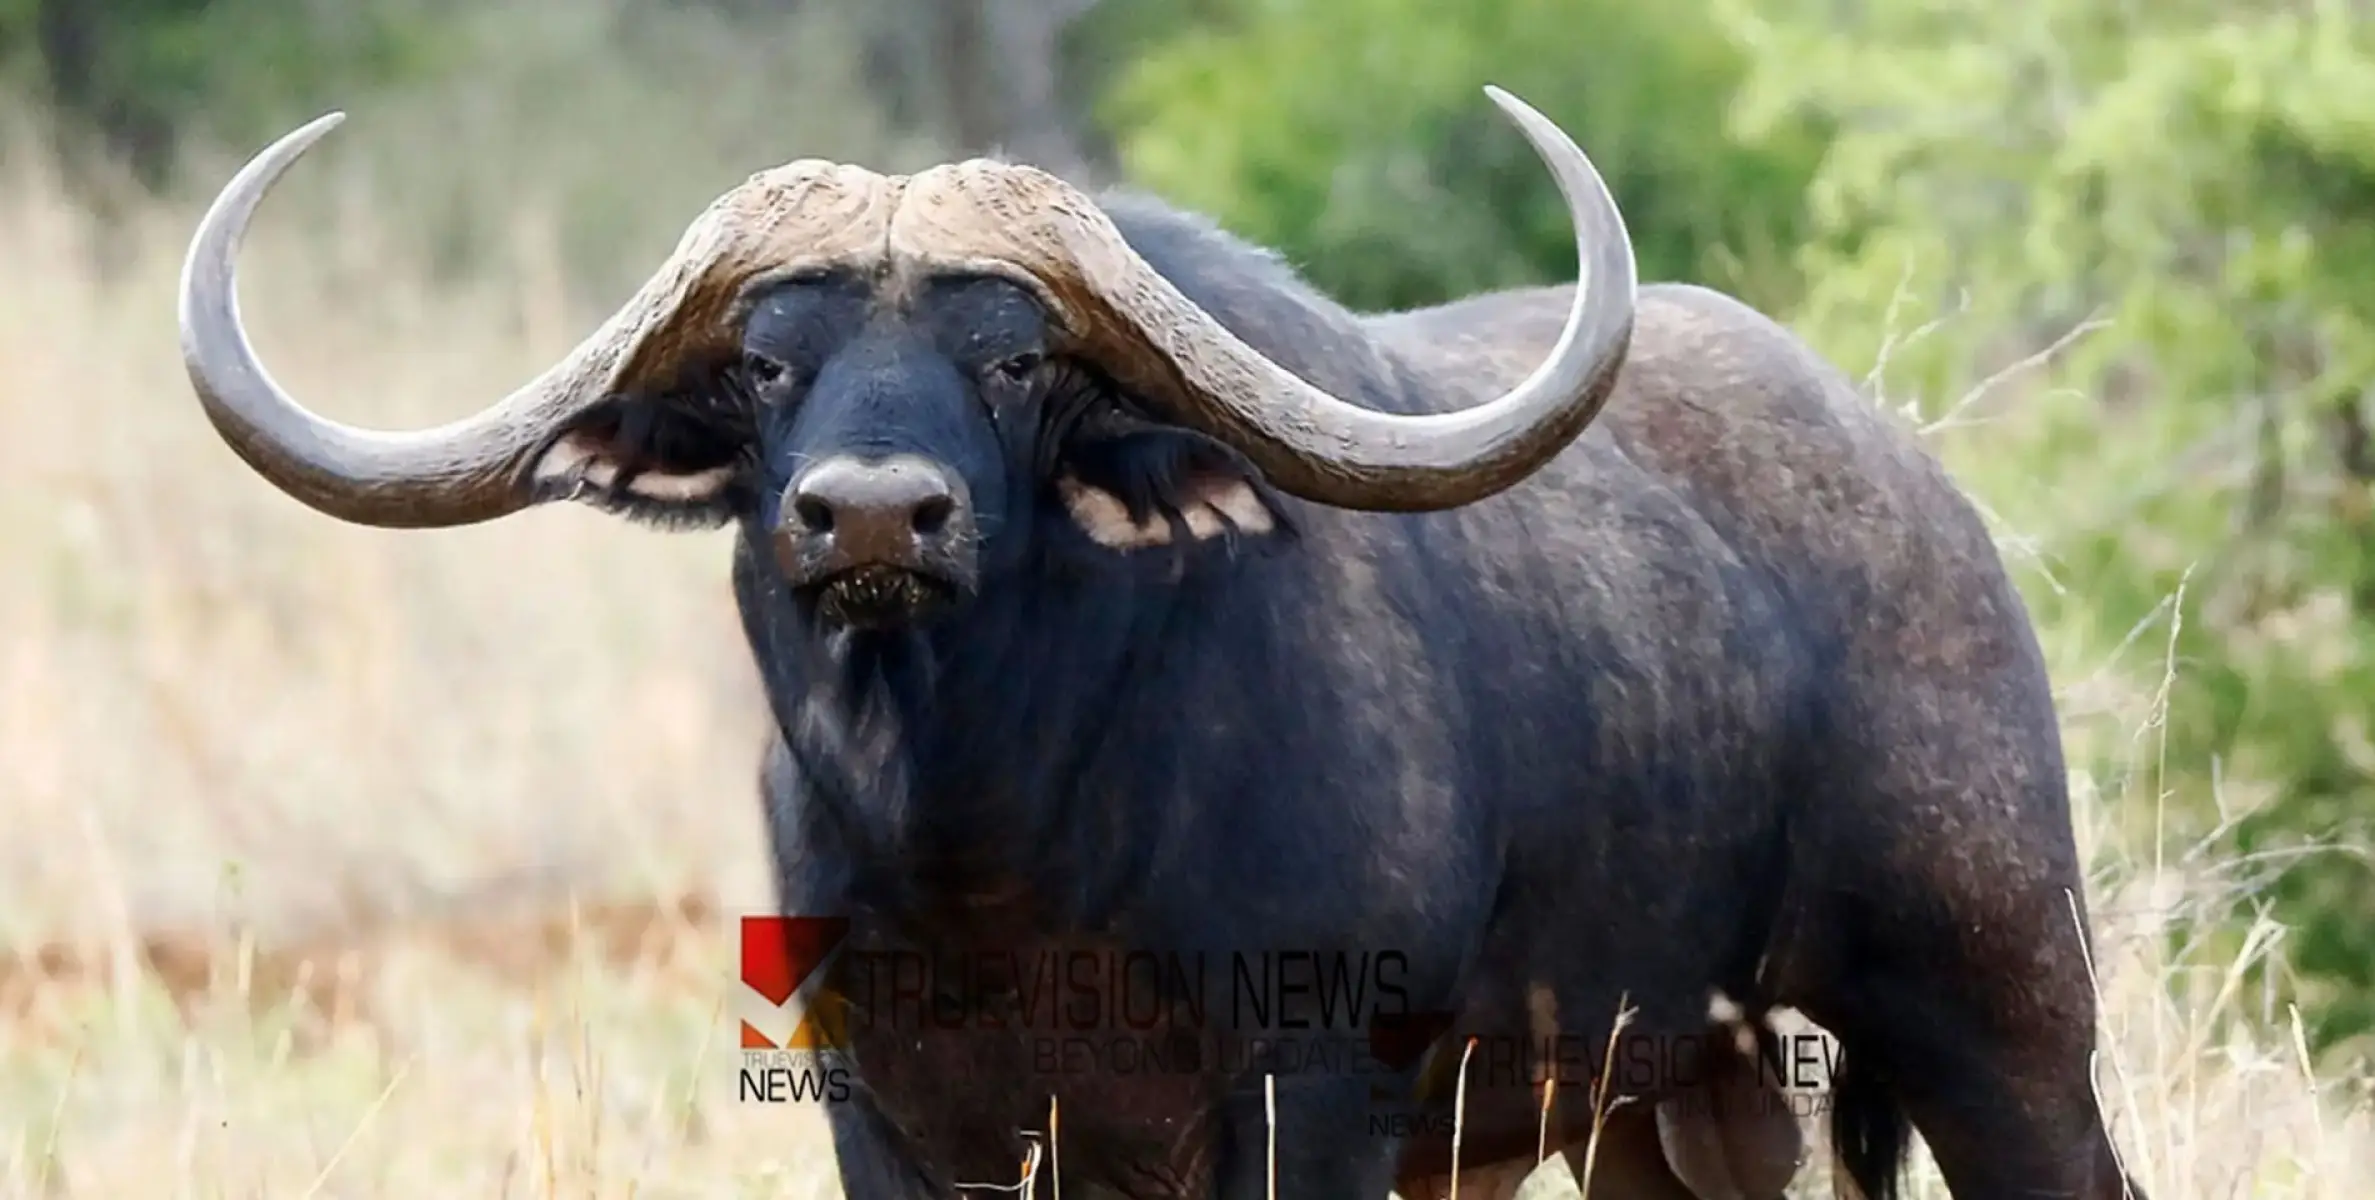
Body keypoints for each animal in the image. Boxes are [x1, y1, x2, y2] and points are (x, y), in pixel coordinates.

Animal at [175, 86, 2147, 1197]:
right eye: (764, 363)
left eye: (1013, 358)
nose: (870, 521)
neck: (998, 848)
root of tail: (1926, 500)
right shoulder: (896, 1123)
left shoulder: (1307, 1105)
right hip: (1660, 1107)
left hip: (2001, 1020)